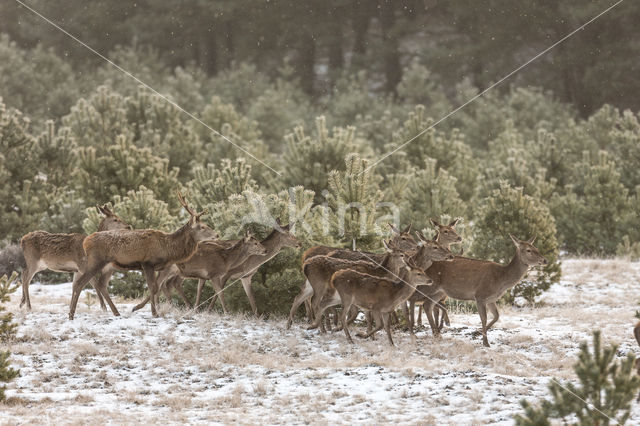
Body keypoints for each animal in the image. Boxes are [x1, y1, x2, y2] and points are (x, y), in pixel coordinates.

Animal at [67, 193, 218, 320]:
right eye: (202, 227)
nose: (217, 234)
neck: (168, 248)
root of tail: (86, 241)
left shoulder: (157, 267)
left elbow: (156, 287)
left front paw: (140, 308)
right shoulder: (148, 263)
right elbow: (153, 287)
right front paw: (153, 313)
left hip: (105, 266)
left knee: (95, 284)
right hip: (96, 261)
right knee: (80, 283)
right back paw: (71, 314)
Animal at [131, 230, 268, 312]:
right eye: (255, 243)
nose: (265, 250)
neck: (226, 259)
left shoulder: (204, 276)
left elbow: (200, 291)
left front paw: (197, 309)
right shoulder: (214, 273)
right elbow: (220, 293)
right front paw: (226, 311)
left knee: (160, 285)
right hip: (169, 269)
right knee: (158, 285)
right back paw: (141, 307)